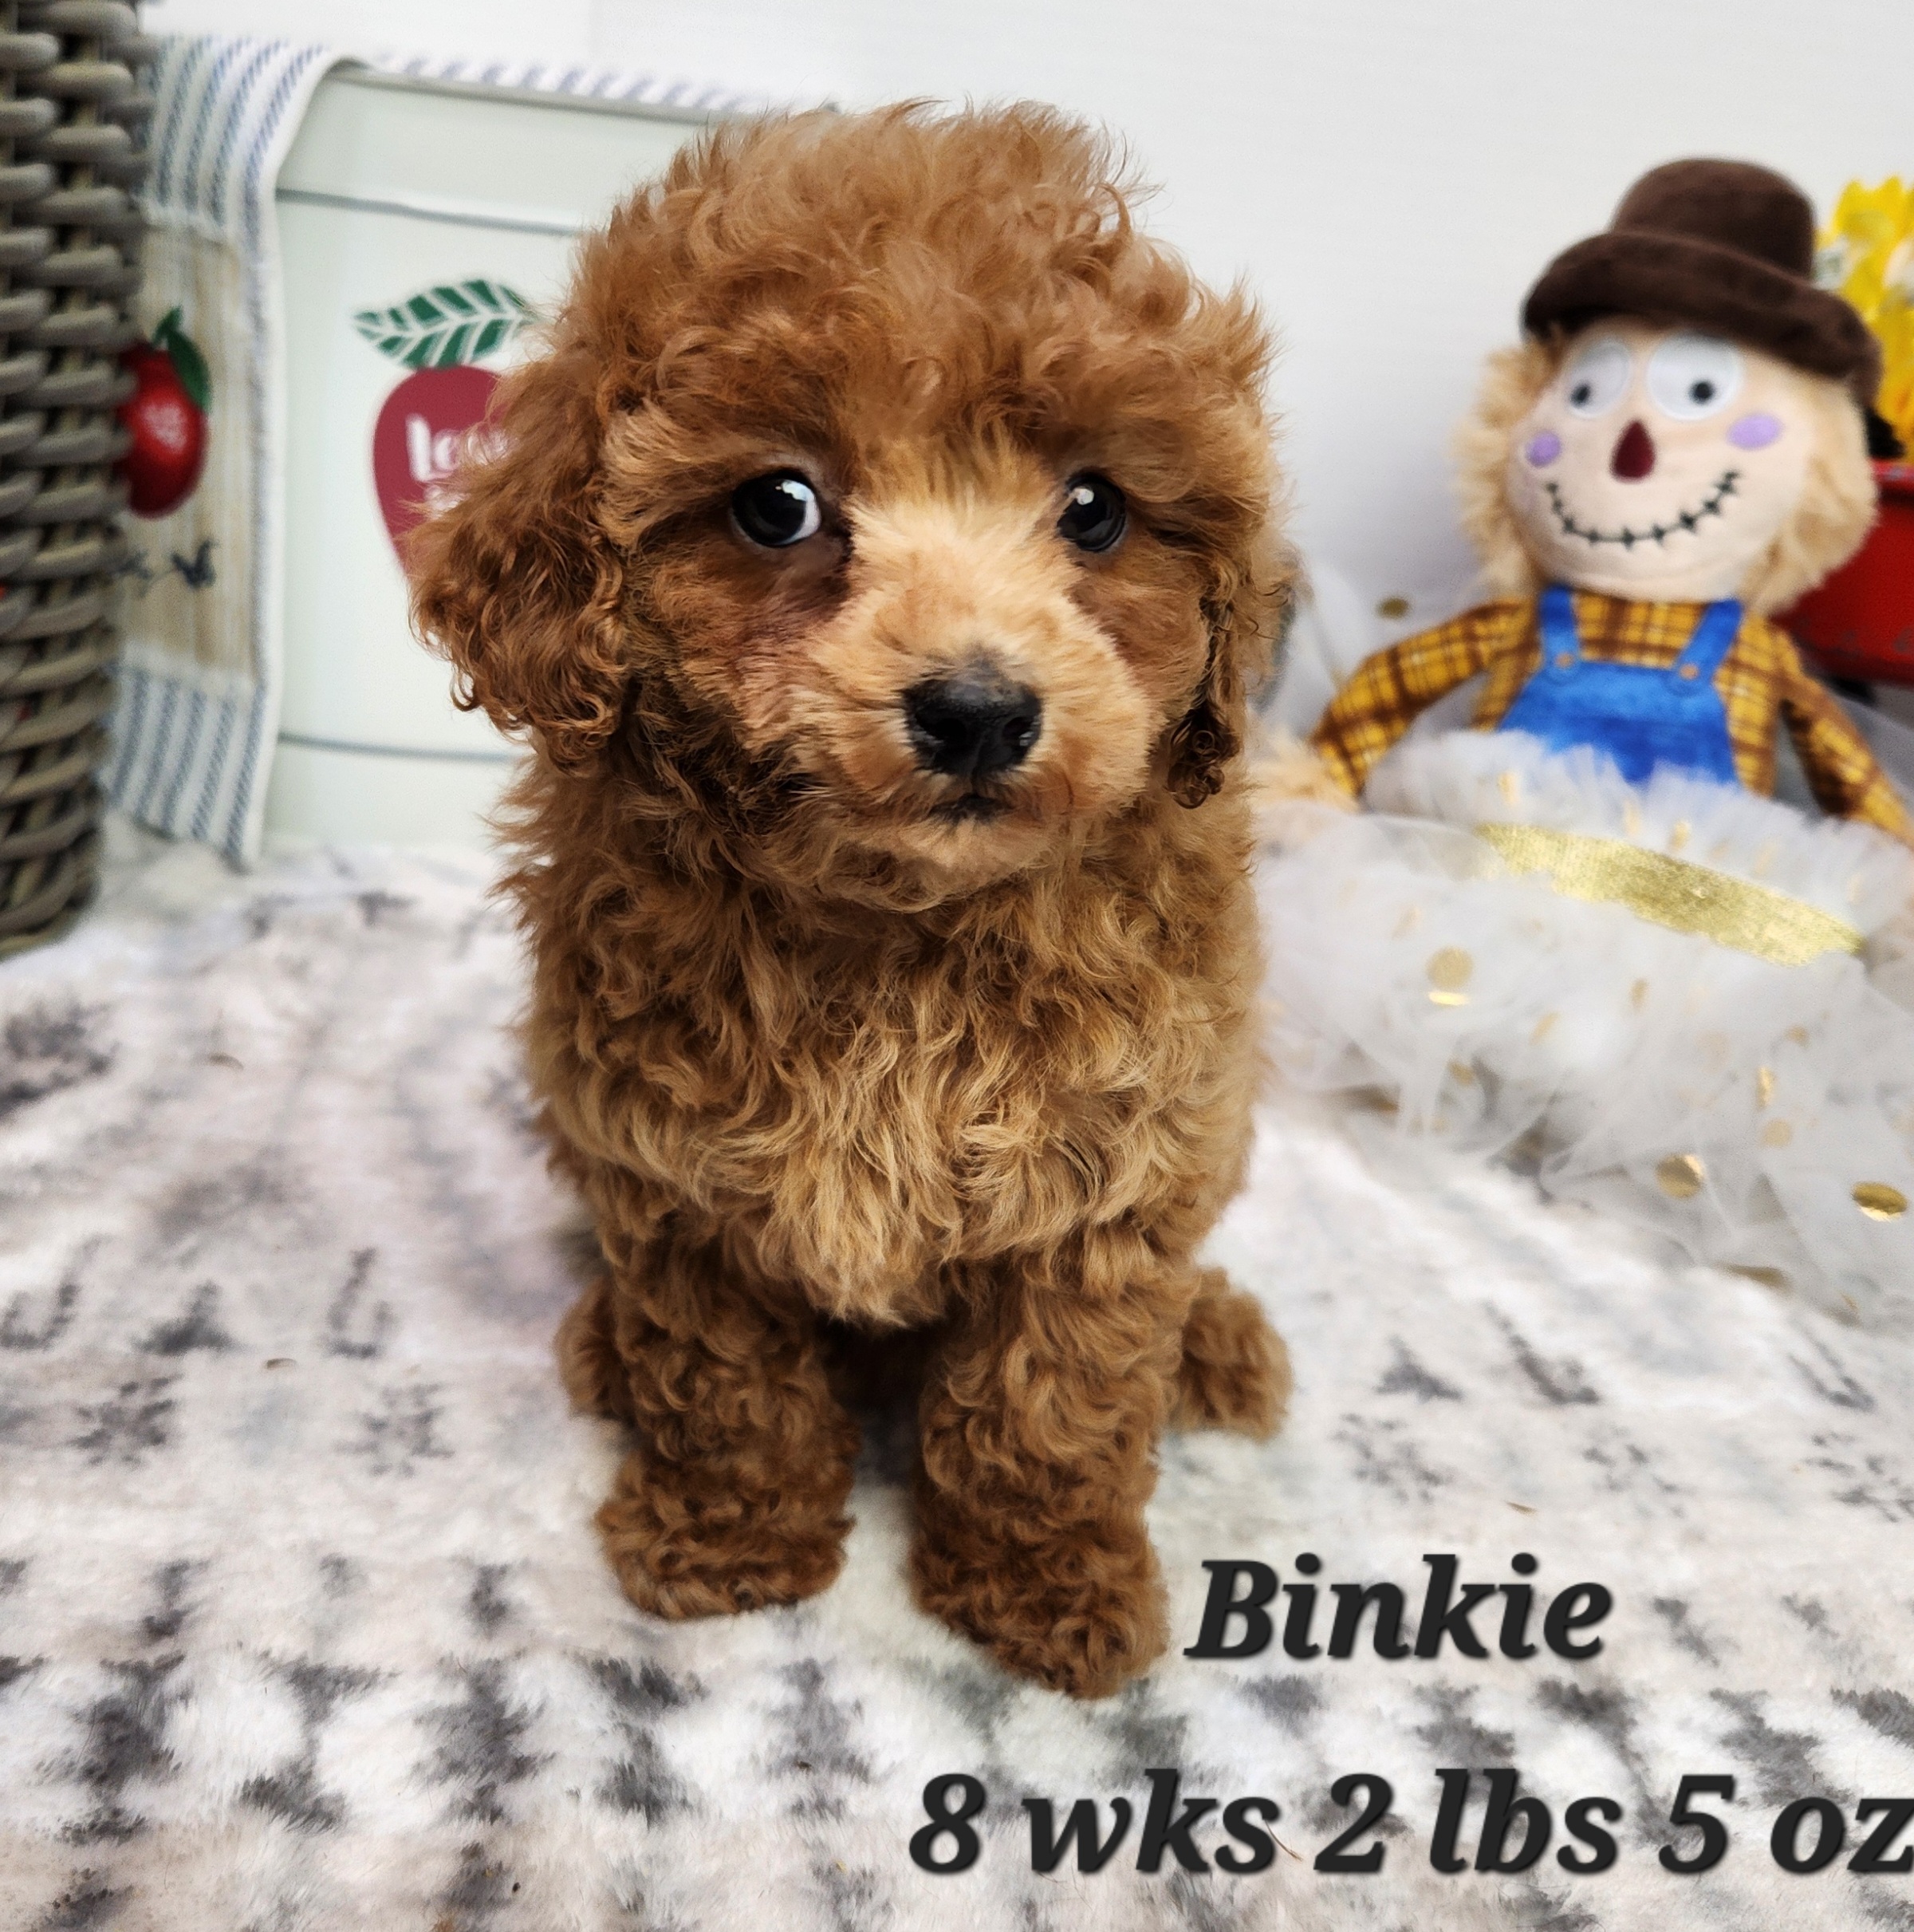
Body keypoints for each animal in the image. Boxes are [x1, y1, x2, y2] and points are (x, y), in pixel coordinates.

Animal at [411, 101, 1298, 1692]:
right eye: (780, 506)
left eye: (1095, 509)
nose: (979, 710)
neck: (897, 925)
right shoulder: (677, 1186)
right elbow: (728, 1384)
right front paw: (730, 1544)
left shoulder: (1112, 1175)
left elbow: (1049, 1406)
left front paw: (1043, 1587)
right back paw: (603, 1349)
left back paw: (1217, 1343)